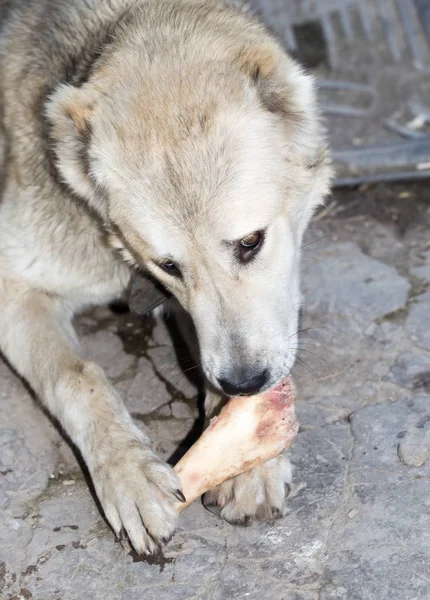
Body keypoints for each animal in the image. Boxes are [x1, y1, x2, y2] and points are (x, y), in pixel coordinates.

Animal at [0, 0, 330, 552]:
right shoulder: (14, 287)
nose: (244, 383)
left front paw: (247, 456)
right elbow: (77, 375)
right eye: (168, 266)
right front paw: (128, 471)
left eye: (251, 242)